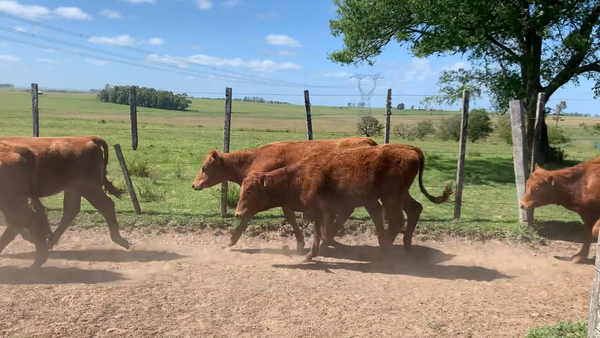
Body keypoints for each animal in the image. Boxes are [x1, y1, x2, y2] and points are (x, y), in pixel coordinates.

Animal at [0, 135, 130, 251]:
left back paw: (120, 240)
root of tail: (89, 138)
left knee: (106, 205)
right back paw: (49, 242)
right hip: (73, 190)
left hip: (88, 188)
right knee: (71, 210)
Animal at [191, 136, 380, 252]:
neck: (255, 159)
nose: (193, 185)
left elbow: (247, 217)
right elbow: (289, 217)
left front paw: (232, 240)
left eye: (205, 168)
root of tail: (370, 142)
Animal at [233, 143, 450, 262]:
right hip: (399, 196)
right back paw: (405, 247)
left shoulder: (328, 211)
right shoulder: (318, 214)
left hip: (391, 197)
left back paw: (383, 252)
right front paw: (308, 256)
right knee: (414, 210)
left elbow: (327, 235)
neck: (300, 177)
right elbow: (320, 236)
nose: (238, 213)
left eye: (250, 191)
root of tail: (413, 150)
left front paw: (350, 251)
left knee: (396, 221)